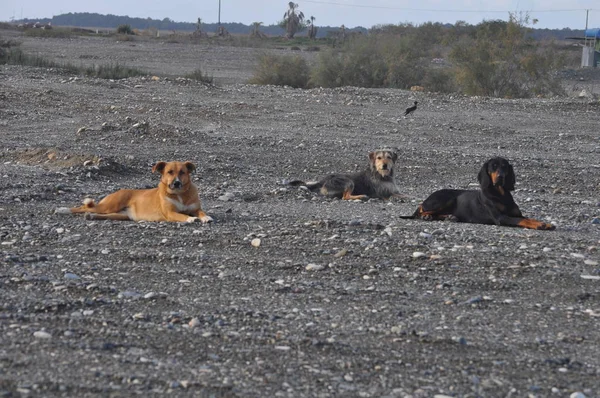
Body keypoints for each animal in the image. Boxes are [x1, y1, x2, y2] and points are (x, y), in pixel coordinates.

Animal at [54, 162, 213, 224]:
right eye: (170, 172)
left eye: (182, 172)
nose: (177, 183)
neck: (179, 194)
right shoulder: (170, 213)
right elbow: (182, 215)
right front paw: (190, 219)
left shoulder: (195, 208)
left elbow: (201, 212)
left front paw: (206, 217)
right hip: (110, 206)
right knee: (83, 207)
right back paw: (63, 210)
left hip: (120, 215)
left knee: (98, 213)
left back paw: (91, 216)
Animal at [400, 156, 556, 230]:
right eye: (493, 166)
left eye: (504, 167)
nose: (500, 177)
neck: (501, 194)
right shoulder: (500, 218)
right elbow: (522, 220)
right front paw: (539, 225)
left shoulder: (516, 214)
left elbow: (528, 218)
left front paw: (545, 223)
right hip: (446, 199)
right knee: (420, 210)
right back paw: (427, 216)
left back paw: (449, 217)